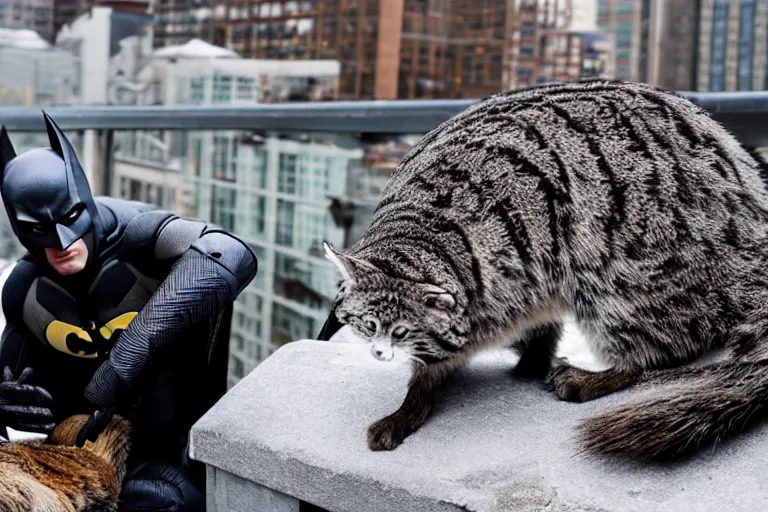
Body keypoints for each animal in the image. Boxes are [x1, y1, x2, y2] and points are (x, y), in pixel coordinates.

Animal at [320, 79, 768, 460]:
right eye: (367, 325)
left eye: (401, 332)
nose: (381, 352)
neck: (422, 226)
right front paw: (530, 351)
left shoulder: (520, 259)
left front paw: (419, 390)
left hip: (635, 256)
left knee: (646, 329)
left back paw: (613, 369)